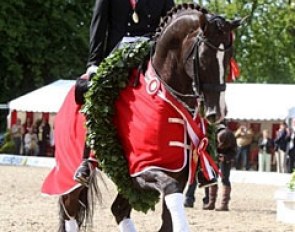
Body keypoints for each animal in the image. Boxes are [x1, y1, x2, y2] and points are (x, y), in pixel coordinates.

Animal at [51, 3, 244, 232]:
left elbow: (168, 219)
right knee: (70, 209)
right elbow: (169, 193)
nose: (218, 111)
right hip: (72, 173)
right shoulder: (144, 167)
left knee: (118, 210)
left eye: (229, 56)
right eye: (204, 56)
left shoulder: (176, 173)